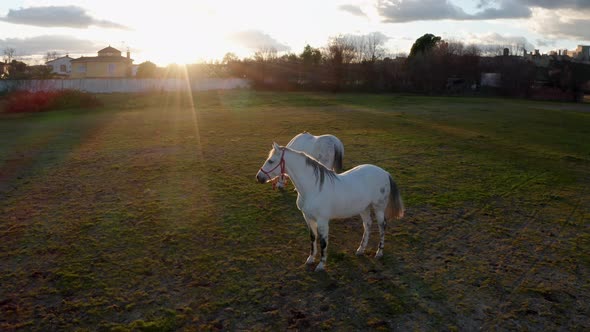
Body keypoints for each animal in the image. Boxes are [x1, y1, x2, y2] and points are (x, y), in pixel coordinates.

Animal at [256, 141, 404, 272]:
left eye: (271, 161)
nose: (259, 177)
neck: (313, 188)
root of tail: (384, 173)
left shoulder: (322, 220)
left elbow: (323, 242)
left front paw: (321, 265)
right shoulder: (308, 218)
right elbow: (313, 238)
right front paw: (310, 259)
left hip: (379, 208)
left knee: (382, 226)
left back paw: (379, 253)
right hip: (364, 208)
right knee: (367, 225)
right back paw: (360, 250)